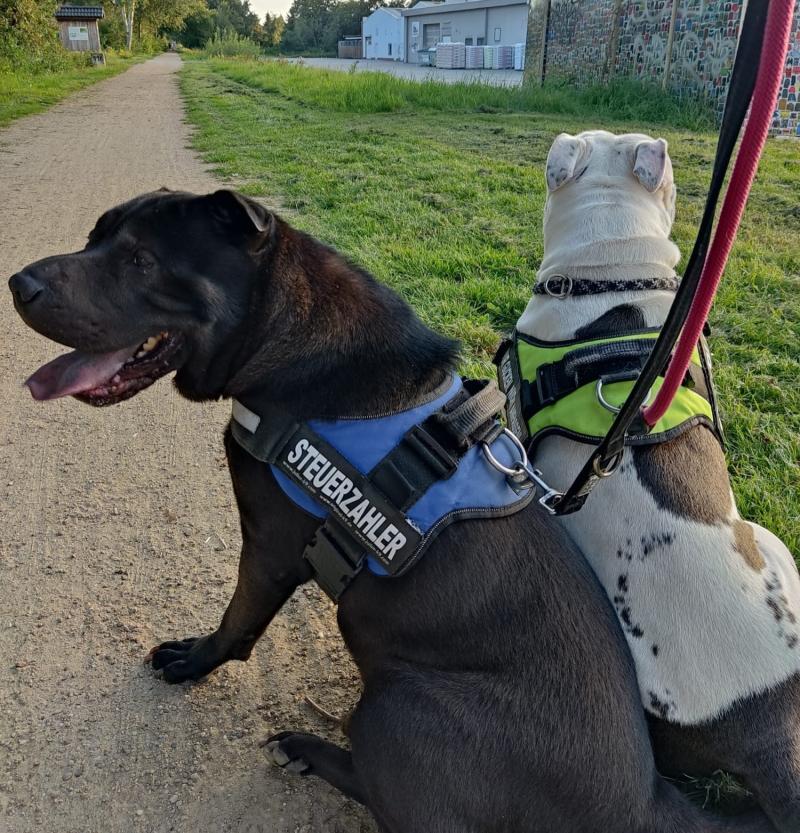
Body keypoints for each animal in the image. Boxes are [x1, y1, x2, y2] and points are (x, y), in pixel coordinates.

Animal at [8, 189, 780, 832]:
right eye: (95, 237)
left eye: (141, 259)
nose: (20, 283)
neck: (290, 348)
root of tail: (646, 804)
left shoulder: (268, 550)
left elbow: (236, 623)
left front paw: (194, 661)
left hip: (398, 705)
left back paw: (307, 747)